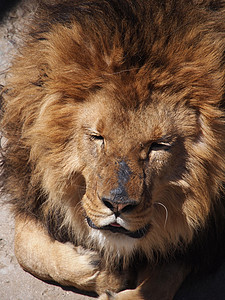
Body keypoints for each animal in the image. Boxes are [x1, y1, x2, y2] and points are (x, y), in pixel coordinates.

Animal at [0, 0, 225, 298]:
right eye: (98, 137)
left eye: (158, 145)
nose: (118, 205)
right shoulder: (30, 185)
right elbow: (24, 247)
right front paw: (101, 271)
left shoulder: (206, 237)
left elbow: (162, 281)